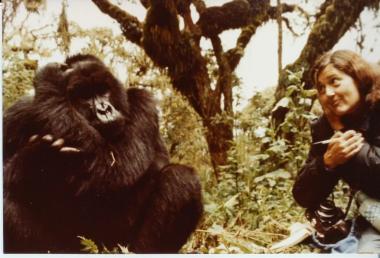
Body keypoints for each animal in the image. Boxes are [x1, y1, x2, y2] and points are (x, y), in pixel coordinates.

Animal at [2, 53, 203, 253]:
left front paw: (49, 77)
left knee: (180, 178)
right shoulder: (19, 112)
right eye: (85, 95)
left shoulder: (142, 101)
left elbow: (117, 166)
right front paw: (34, 159)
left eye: (103, 90)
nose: (104, 109)